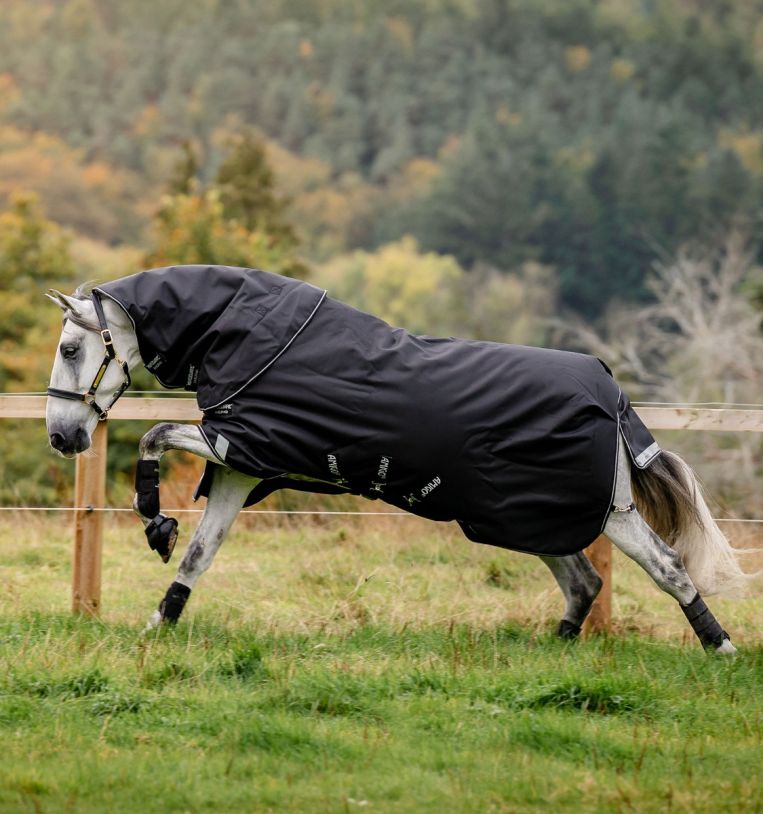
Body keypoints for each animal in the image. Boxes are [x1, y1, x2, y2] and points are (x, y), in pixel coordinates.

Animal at [45, 265, 748, 653]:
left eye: (73, 349)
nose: (62, 437)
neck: (246, 336)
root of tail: (613, 392)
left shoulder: (242, 442)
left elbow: (154, 435)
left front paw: (154, 522)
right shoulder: (242, 466)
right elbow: (199, 554)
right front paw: (157, 625)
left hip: (607, 513)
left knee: (669, 568)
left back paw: (723, 650)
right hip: (532, 518)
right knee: (584, 583)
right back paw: (552, 650)